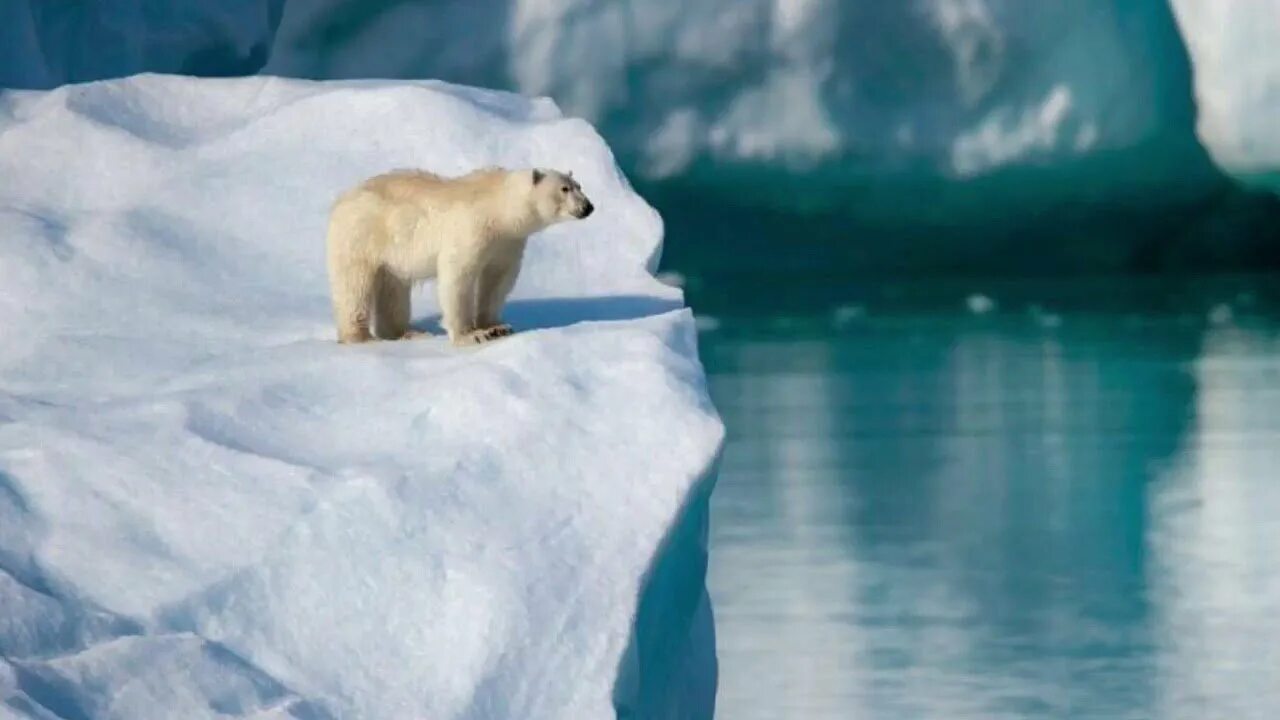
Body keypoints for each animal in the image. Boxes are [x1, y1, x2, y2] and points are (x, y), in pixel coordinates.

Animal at [325, 169, 593, 345]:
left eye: (580, 185)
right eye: (564, 188)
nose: (588, 207)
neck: (498, 208)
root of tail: (340, 201)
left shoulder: (508, 242)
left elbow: (498, 279)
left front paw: (496, 327)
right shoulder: (472, 228)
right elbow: (458, 277)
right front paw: (472, 335)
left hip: (392, 255)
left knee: (393, 289)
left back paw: (408, 333)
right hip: (360, 237)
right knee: (355, 286)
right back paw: (360, 338)